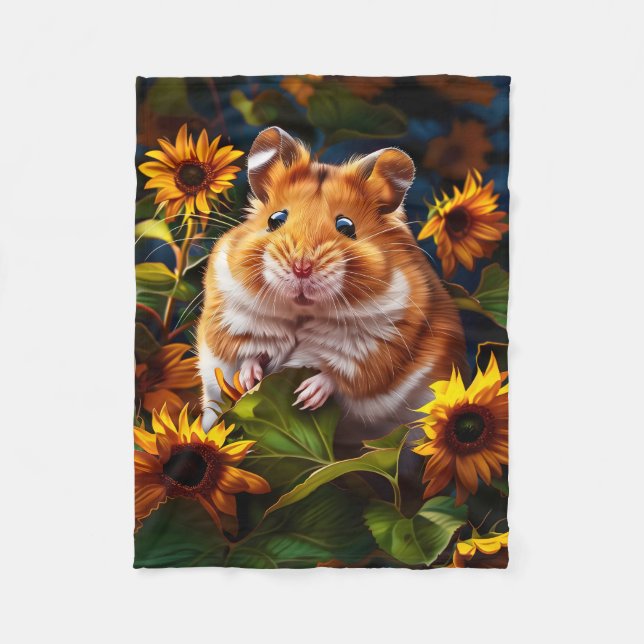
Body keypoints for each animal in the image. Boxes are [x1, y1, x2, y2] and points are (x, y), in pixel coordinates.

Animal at [197, 126, 466, 449]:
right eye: (275, 220)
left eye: (346, 226)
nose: (301, 268)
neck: (303, 313)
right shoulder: (232, 320)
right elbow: (245, 355)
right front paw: (250, 381)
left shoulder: (379, 345)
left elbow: (340, 373)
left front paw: (304, 396)